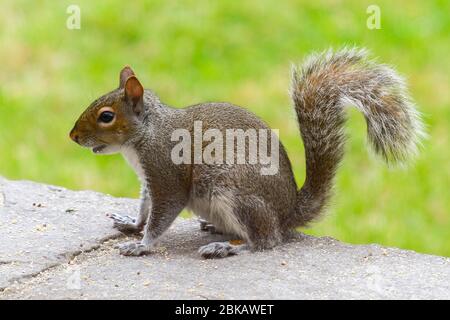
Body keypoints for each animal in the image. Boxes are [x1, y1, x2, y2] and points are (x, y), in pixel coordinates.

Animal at [68, 48, 424, 258]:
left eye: (106, 116)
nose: (72, 136)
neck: (145, 135)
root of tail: (288, 212)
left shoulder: (167, 175)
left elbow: (162, 214)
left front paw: (141, 245)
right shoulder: (148, 180)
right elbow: (145, 207)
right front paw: (131, 223)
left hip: (237, 196)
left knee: (266, 241)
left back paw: (226, 246)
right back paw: (215, 229)